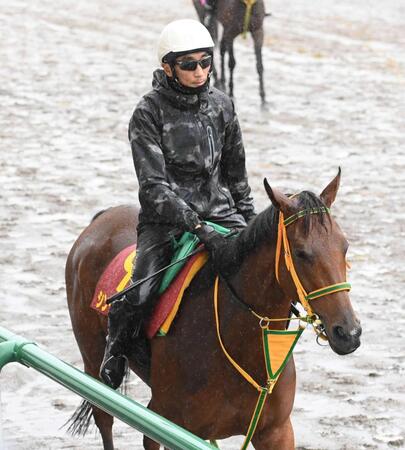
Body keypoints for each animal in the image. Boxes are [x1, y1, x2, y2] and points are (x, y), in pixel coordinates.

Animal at [64, 170, 362, 450]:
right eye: (301, 253)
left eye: (345, 247)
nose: (348, 333)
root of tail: (101, 218)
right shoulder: (174, 425)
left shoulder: (275, 431)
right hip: (93, 360)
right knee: (105, 417)